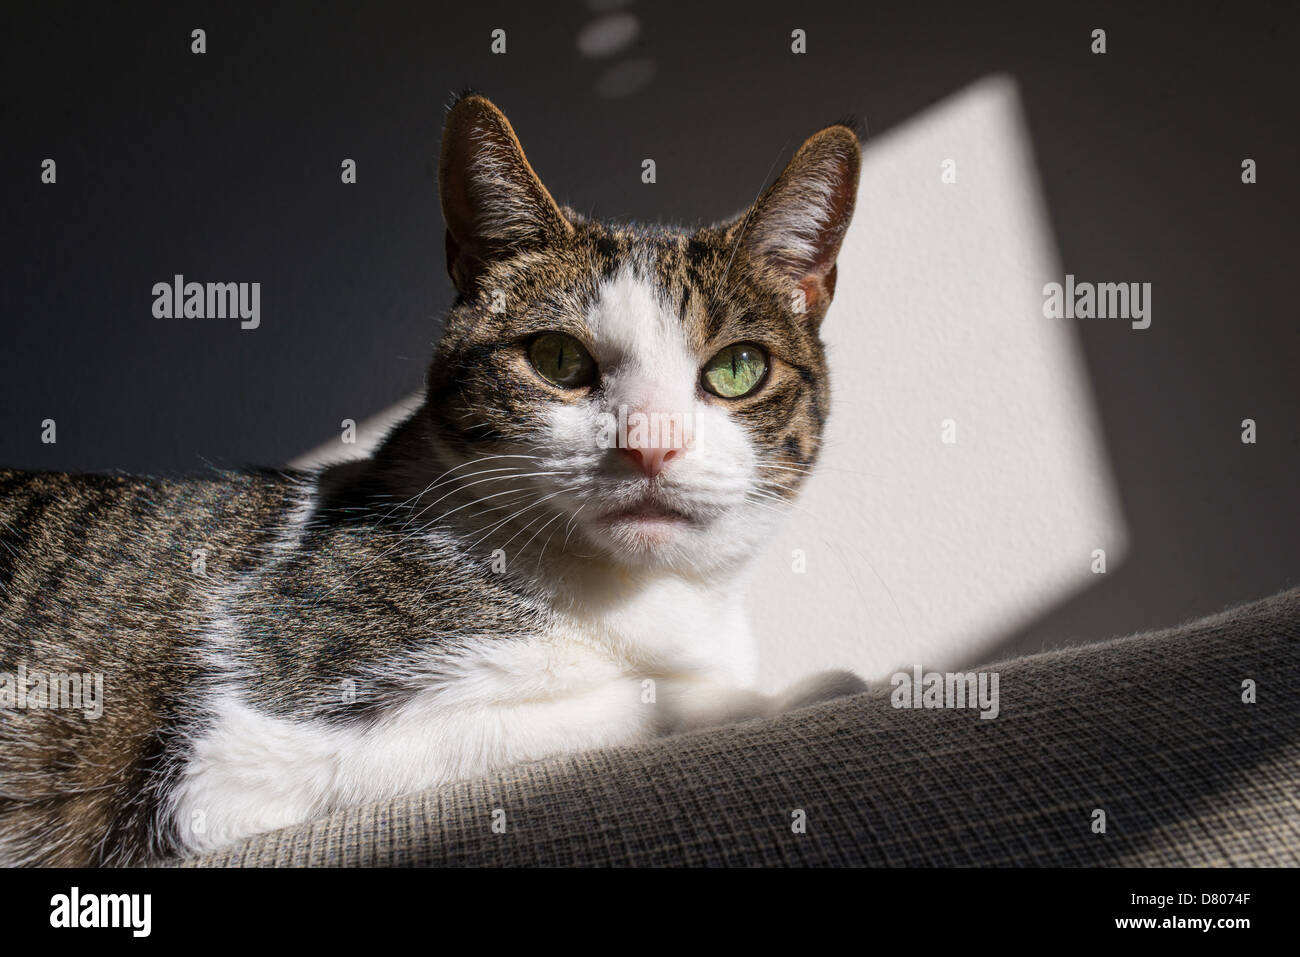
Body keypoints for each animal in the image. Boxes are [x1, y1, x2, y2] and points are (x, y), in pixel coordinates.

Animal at [2, 93, 873, 863]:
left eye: (737, 368)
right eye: (558, 358)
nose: (649, 445)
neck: (646, 597)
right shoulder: (236, 749)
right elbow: (634, 698)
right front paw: (806, 690)